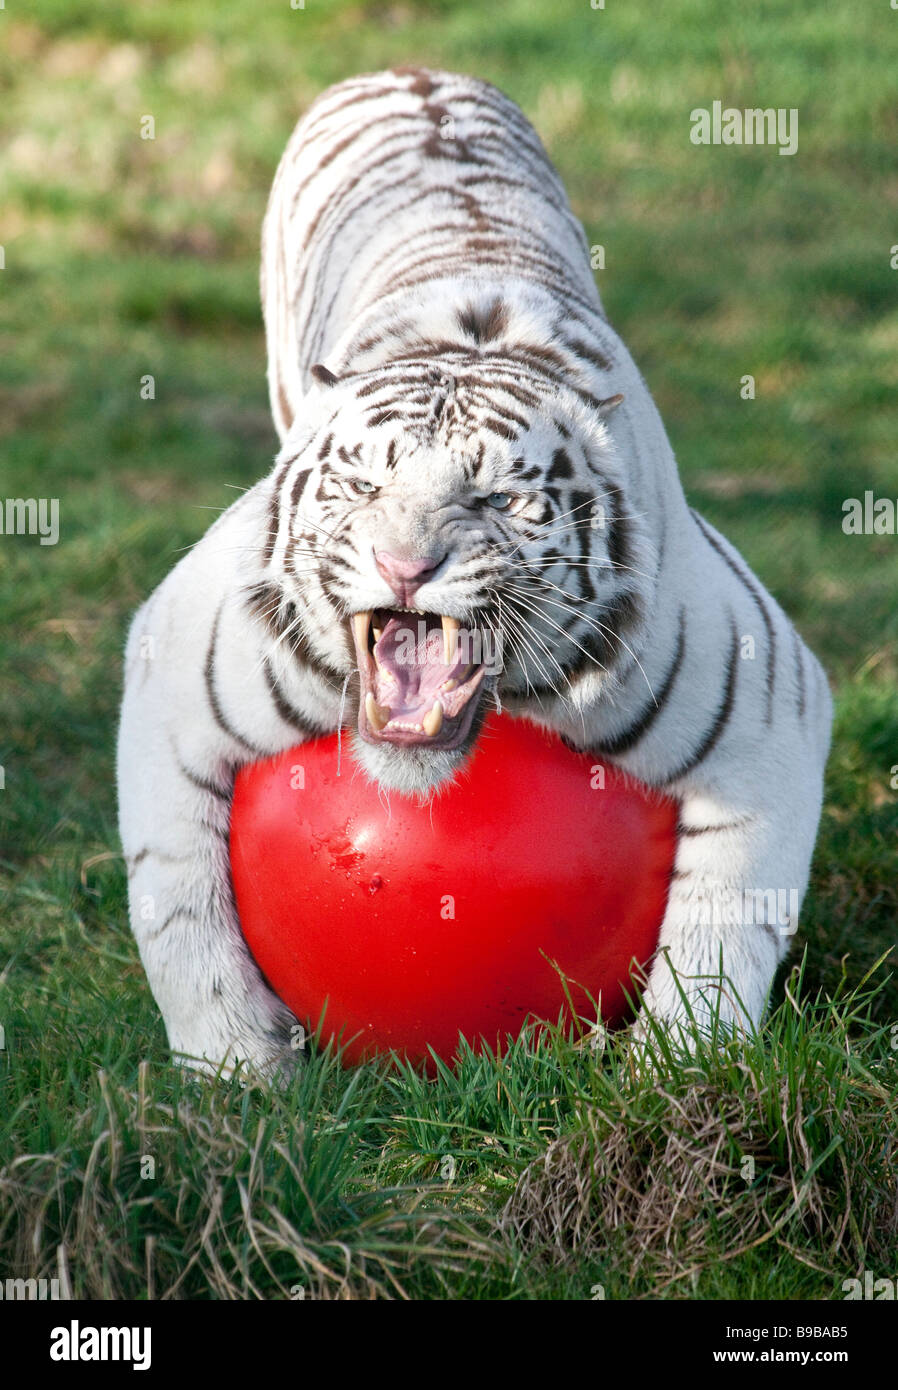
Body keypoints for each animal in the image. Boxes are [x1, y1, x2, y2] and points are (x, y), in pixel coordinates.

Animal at [116, 70, 834, 1078]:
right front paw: (237, 1071)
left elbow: (726, 927)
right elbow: (176, 906)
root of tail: (412, 70)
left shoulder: (766, 702)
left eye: (498, 499)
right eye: (364, 484)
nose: (405, 564)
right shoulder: (178, 664)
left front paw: (680, 1071)